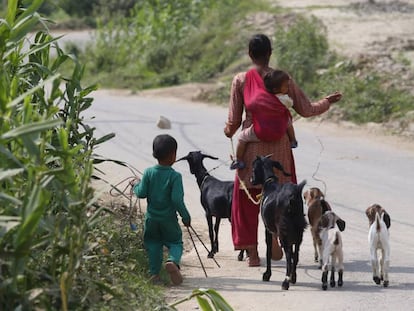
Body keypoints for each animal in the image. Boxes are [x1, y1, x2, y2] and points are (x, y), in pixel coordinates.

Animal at [251, 157, 306, 292]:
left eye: (253, 168)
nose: (251, 179)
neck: (270, 183)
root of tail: (293, 197)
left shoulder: (268, 229)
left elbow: (269, 250)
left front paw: (267, 274)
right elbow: (293, 255)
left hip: (283, 232)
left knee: (288, 255)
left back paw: (285, 282)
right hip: (298, 231)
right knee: (295, 255)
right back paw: (293, 277)